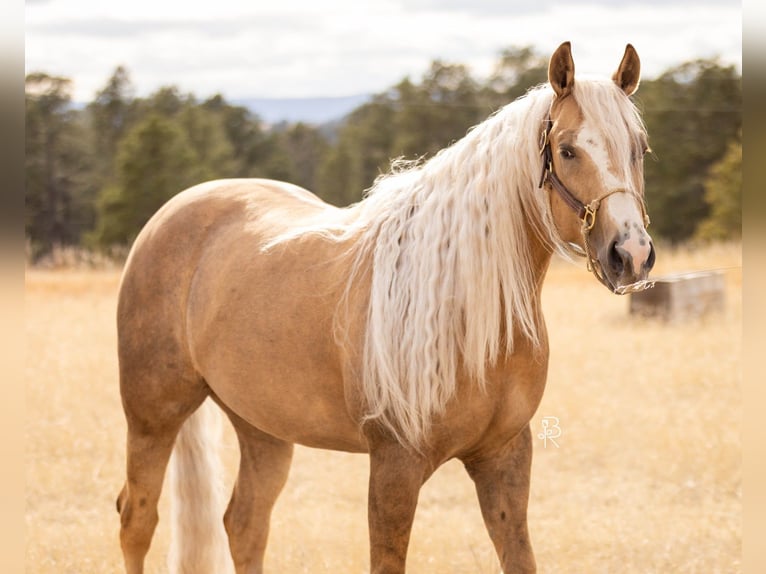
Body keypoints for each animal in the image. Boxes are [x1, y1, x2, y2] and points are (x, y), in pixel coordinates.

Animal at [115, 41, 655, 574]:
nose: (630, 254)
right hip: (152, 417)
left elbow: (519, 558)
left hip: (262, 428)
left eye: (639, 149)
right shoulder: (395, 465)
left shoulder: (505, 455)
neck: (460, 305)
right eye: (567, 150)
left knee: (245, 524)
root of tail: (174, 211)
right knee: (136, 520)